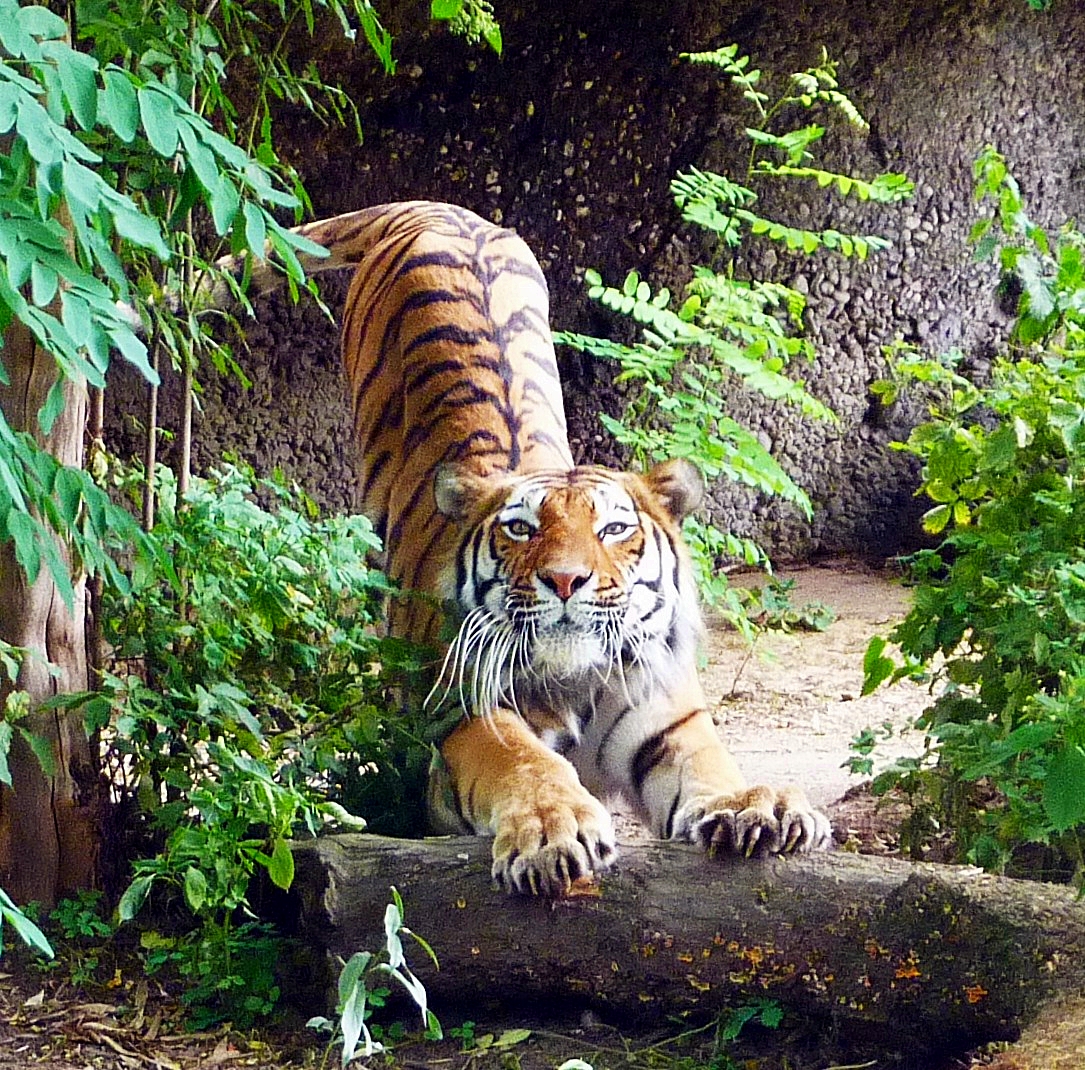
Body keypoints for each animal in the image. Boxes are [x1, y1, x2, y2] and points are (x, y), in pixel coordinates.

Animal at [226, 199, 828, 894]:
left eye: (613, 530)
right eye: (521, 529)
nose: (566, 581)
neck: (574, 681)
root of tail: (436, 209)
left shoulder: (669, 719)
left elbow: (711, 770)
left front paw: (760, 806)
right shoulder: (466, 718)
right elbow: (526, 763)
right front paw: (550, 828)